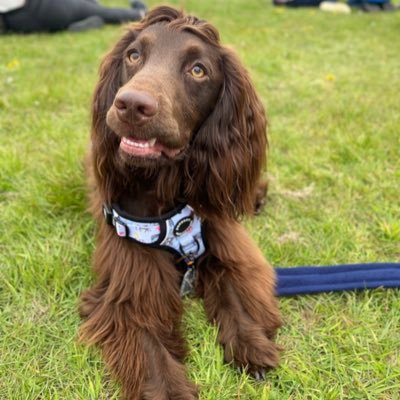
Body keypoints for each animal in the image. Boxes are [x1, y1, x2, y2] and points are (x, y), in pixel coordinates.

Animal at [79, 7, 282, 400]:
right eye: (134, 56)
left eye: (198, 70)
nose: (131, 104)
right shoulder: (129, 285)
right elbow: (149, 348)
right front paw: (171, 390)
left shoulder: (223, 239)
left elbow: (234, 291)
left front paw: (251, 345)